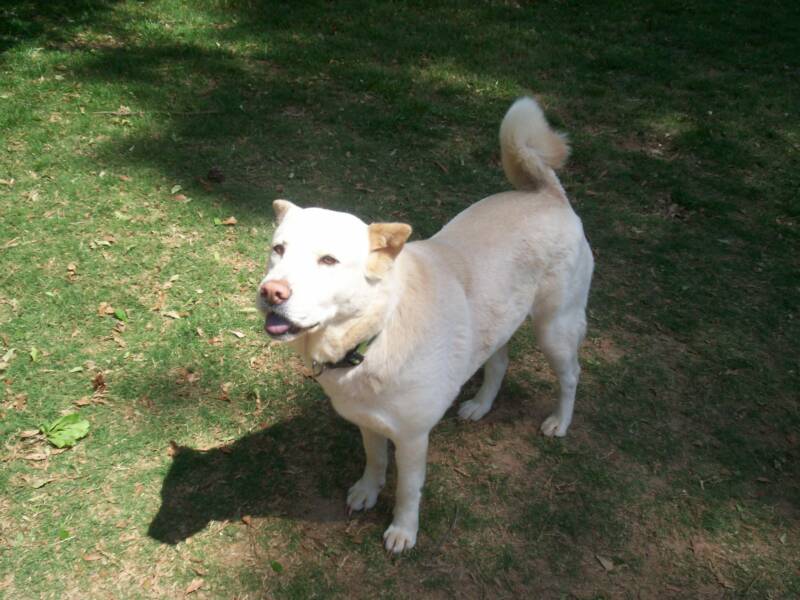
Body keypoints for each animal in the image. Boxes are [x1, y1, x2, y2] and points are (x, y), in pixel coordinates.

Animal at [256, 97, 592, 552]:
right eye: (279, 250)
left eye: (328, 260)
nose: (271, 292)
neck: (375, 334)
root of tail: (547, 193)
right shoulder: (370, 421)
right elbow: (375, 459)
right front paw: (368, 490)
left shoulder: (413, 438)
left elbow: (407, 490)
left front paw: (403, 531)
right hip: (499, 320)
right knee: (499, 362)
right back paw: (481, 405)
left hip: (553, 328)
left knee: (571, 375)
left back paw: (560, 421)